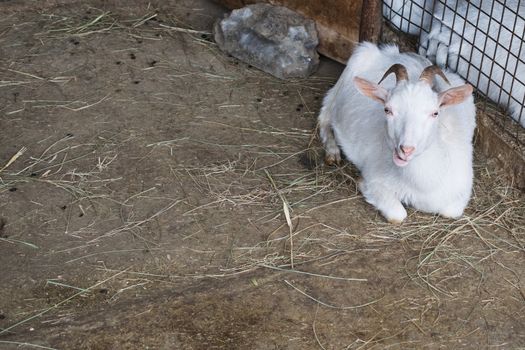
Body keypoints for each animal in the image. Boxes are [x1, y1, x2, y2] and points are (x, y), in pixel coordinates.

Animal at [320, 43, 474, 221]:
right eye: (388, 110)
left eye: (435, 113)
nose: (406, 150)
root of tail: (393, 52)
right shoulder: (374, 181)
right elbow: (397, 215)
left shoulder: (462, 192)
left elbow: (450, 212)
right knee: (325, 115)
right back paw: (332, 152)